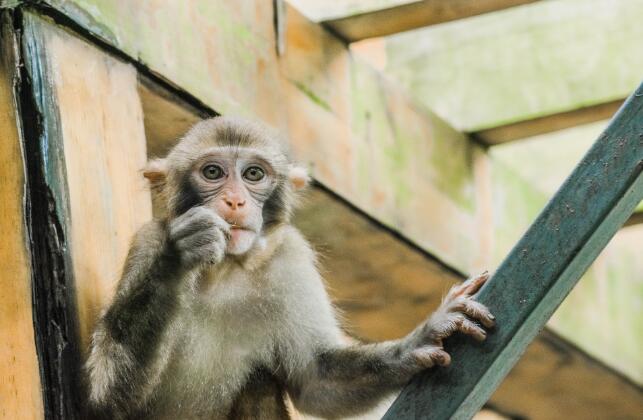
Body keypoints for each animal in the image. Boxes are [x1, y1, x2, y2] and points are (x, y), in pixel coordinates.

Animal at [85, 115, 496, 420]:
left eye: (253, 174)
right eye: (213, 172)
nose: (234, 201)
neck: (224, 271)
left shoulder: (290, 258)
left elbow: (317, 379)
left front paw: (426, 336)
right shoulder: (147, 241)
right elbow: (109, 400)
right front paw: (180, 253)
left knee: (260, 381)